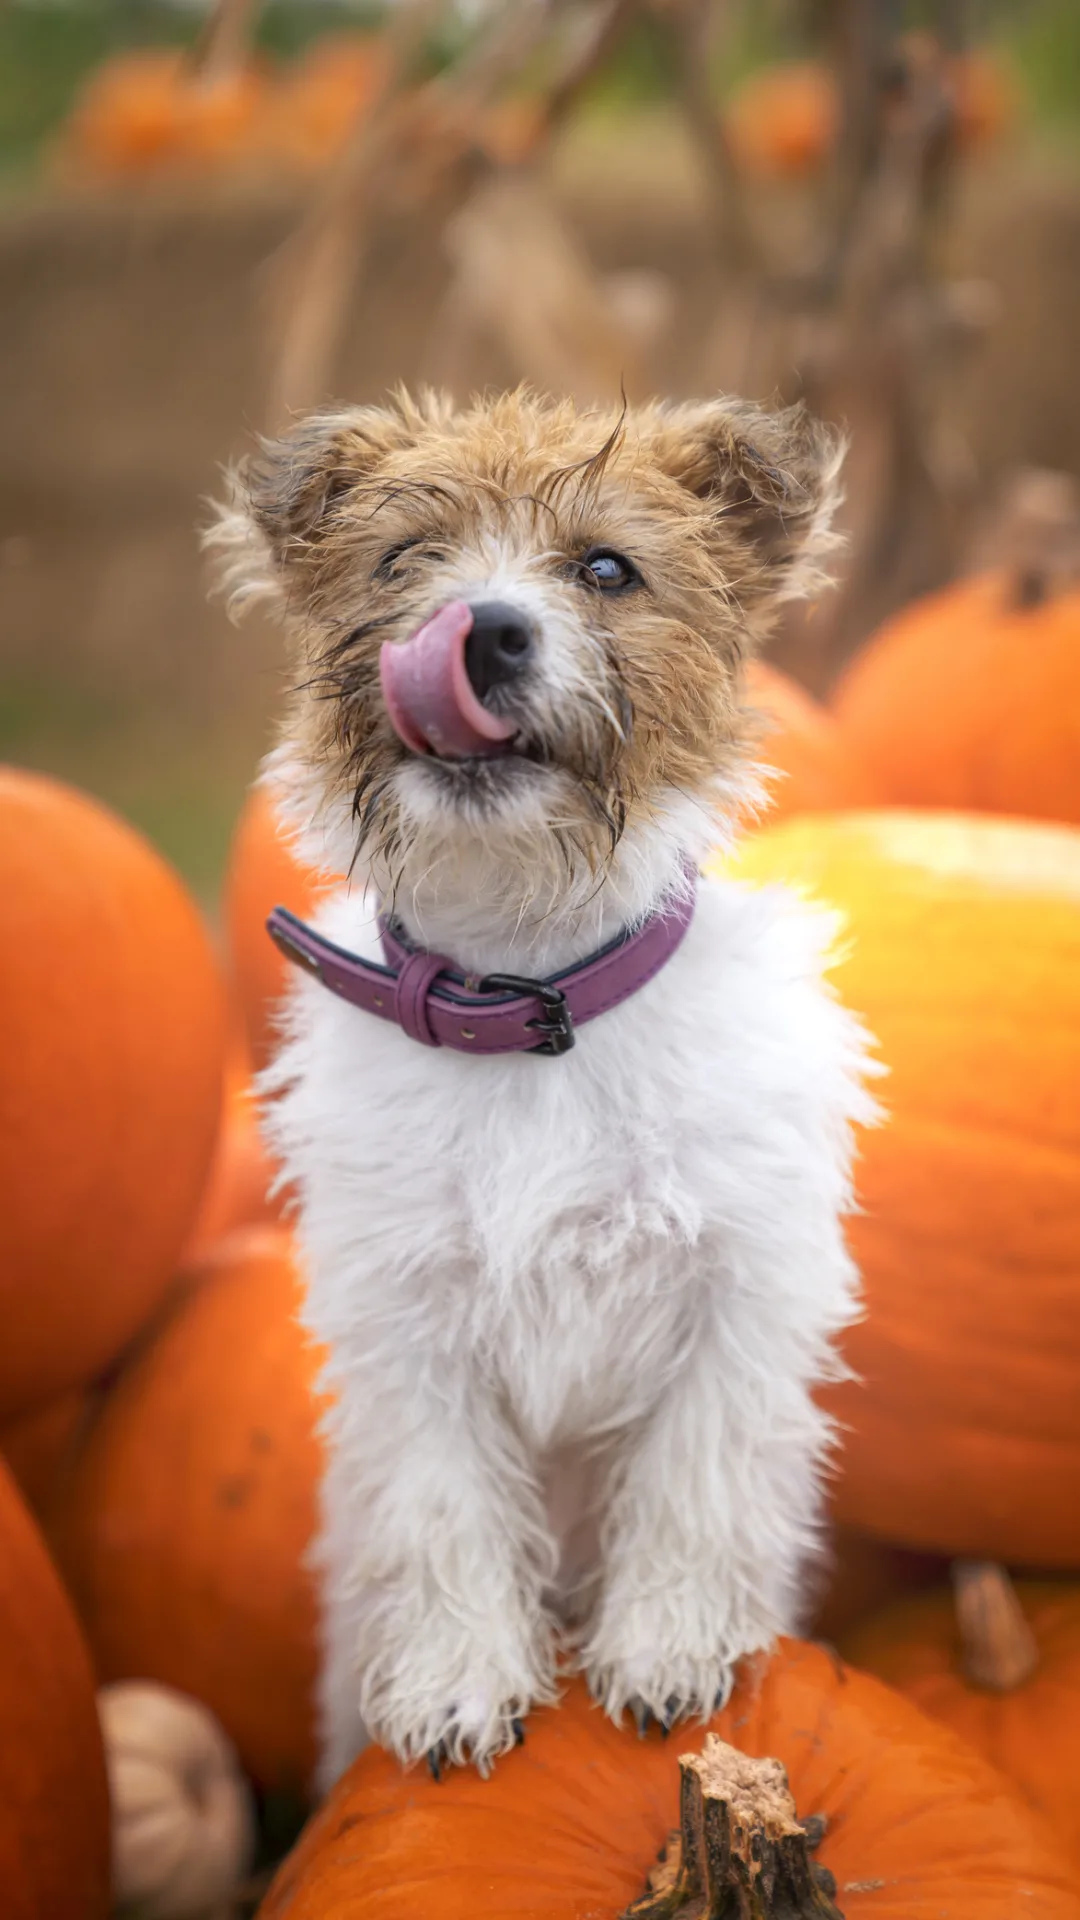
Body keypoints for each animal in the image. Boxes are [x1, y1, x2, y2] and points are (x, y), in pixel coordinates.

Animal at [210, 385, 876, 1781]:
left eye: (609, 569)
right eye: (405, 560)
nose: (485, 629)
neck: (523, 1007)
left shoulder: (737, 1302)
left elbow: (693, 1483)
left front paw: (670, 1650)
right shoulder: (409, 1328)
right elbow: (443, 1506)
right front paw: (458, 1683)